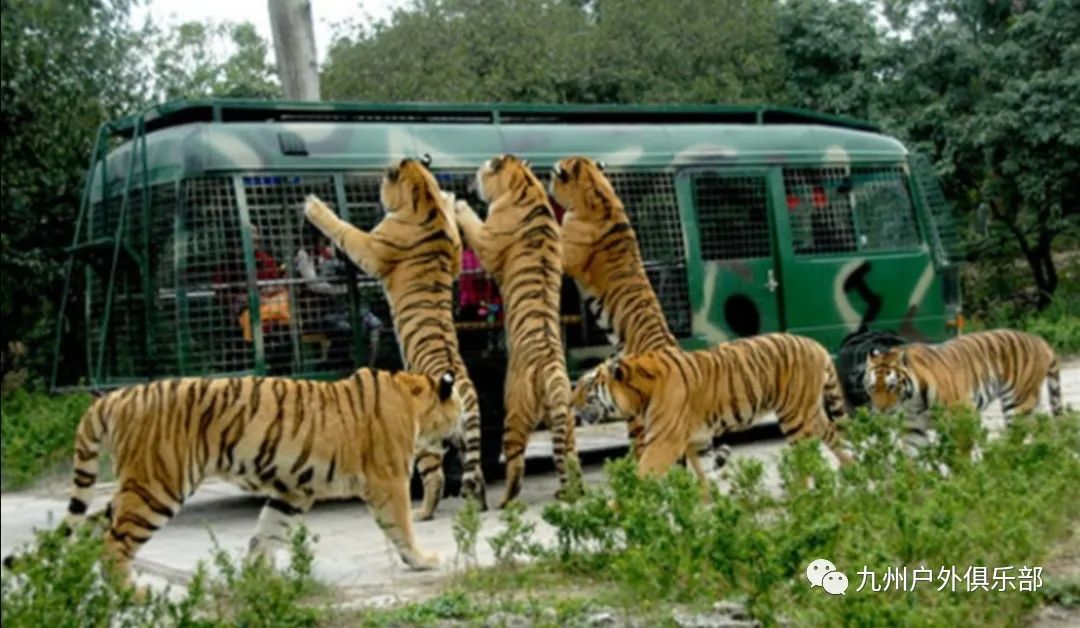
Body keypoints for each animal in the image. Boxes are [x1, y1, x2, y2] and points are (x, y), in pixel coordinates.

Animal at [2, 367, 462, 583]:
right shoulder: (388, 481)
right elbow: (401, 526)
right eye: (459, 404)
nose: (461, 432)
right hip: (157, 487)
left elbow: (266, 533)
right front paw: (423, 560)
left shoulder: (292, 492)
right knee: (113, 547)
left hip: (133, 488)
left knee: (93, 531)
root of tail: (116, 396)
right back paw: (133, 592)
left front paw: (258, 580)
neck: (413, 397)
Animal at [304, 157, 490, 518]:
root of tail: (464, 388)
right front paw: (450, 199)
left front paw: (314, 206)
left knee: (435, 478)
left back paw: (423, 513)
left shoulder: (370, 247)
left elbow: (344, 230)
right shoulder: (455, 255)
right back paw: (480, 507)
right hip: (465, 438)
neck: (423, 200)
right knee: (476, 474)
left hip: (425, 441)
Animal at [451, 154, 578, 505]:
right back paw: (573, 490)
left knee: (516, 463)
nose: (466, 181)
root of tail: (550, 366)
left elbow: (472, 221)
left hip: (514, 411)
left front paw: (456, 203)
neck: (525, 183)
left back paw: (505, 501)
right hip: (562, 412)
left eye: (479, 170)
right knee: (568, 454)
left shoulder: (486, 239)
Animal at [574, 332, 851, 484]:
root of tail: (817, 345)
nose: (570, 401)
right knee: (834, 436)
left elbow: (643, 473)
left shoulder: (663, 442)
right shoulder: (694, 440)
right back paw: (852, 472)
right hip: (809, 412)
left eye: (586, 385)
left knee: (807, 458)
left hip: (796, 417)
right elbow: (701, 472)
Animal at [859, 328, 1062, 445]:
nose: (880, 411)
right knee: (1045, 426)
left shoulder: (960, 421)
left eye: (891, 387)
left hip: (1018, 404)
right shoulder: (912, 430)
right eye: (872, 388)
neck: (913, 402)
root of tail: (1038, 339)